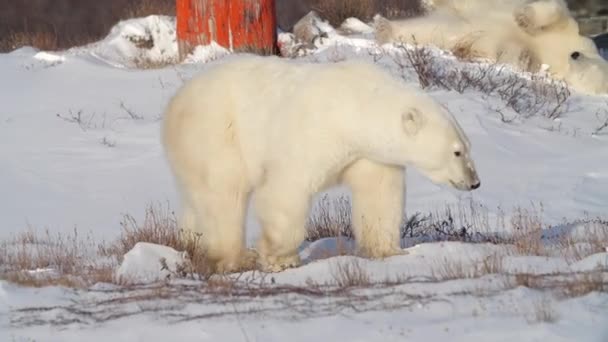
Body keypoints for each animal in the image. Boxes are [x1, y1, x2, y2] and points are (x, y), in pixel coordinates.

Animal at [160, 56, 480, 276]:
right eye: (457, 152)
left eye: (467, 146)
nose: (475, 182)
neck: (354, 107)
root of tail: (175, 103)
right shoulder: (313, 133)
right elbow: (286, 190)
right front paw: (280, 259)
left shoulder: (368, 155)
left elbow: (379, 194)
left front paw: (388, 250)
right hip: (217, 135)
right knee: (225, 194)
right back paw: (234, 257)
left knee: (197, 200)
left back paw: (190, 242)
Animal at [376, 0, 608, 94]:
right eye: (581, 57)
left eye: (586, 71)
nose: (575, 55)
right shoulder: (573, 34)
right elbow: (555, 11)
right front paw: (523, 18)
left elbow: (514, 54)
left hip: (454, 25)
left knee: (432, 29)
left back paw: (384, 28)